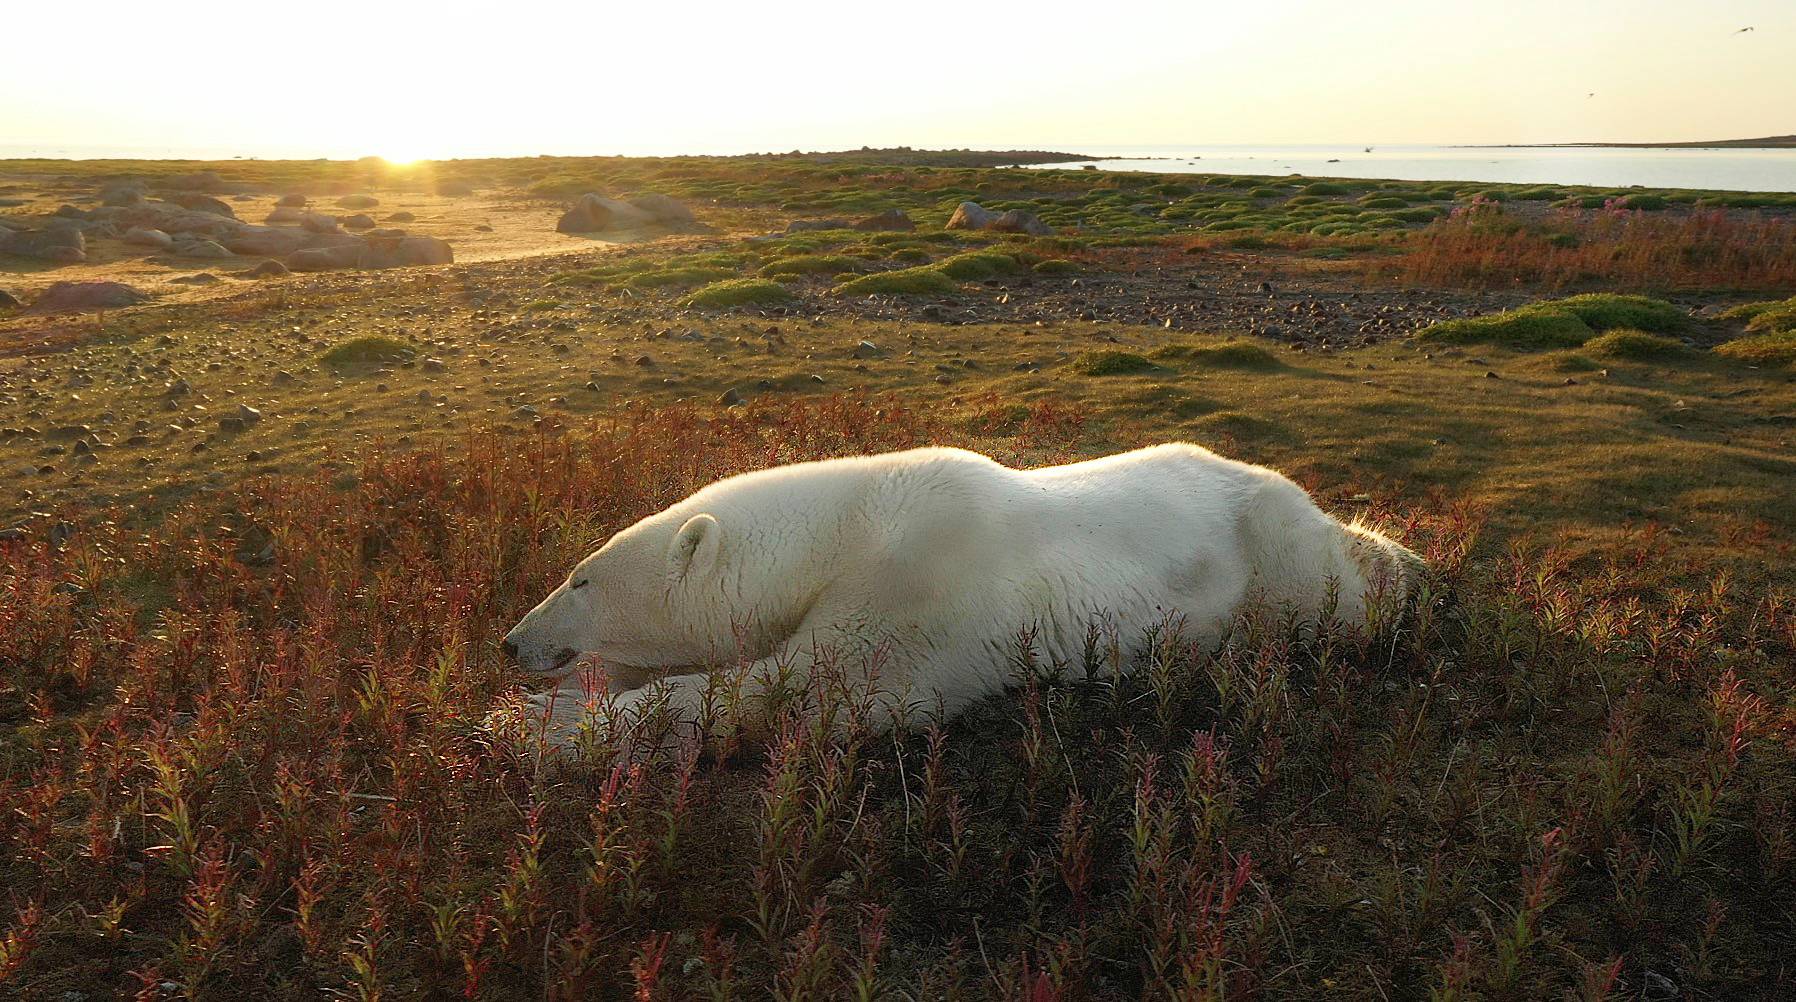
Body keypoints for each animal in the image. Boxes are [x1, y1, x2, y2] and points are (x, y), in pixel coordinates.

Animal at [497, 443, 1424, 753]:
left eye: (580, 577)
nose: (510, 642)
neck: (843, 530)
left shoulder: (918, 585)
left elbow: (817, 687)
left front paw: (538, 725)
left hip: (1271, 558)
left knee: (1336, 594)